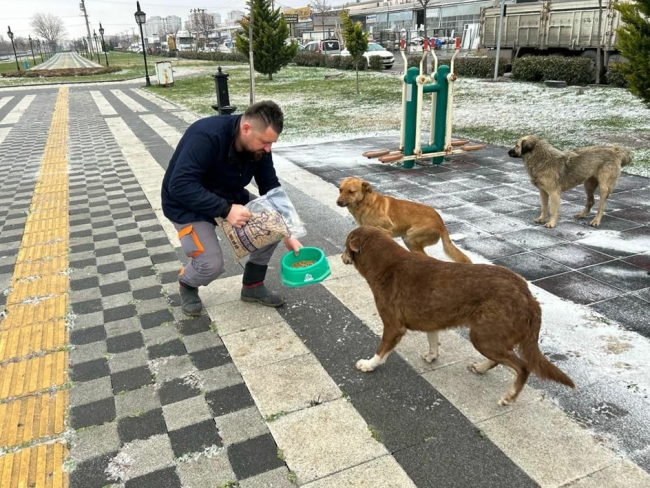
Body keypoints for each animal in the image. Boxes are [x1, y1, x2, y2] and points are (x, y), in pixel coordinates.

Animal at [336, 177, 468, 264]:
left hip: (410, 237)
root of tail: (440, 221)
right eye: (340, 190)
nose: (338, 202)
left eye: (351, 191)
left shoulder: (388, 228)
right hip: (408, 239)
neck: (366, 204)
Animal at [342, 225, 576, 404]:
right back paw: (481, 368)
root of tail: (528, 296)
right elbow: (433, 341)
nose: (343, 256)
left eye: (345, 246)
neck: (386, 264)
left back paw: (509, 396)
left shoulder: (393, 326)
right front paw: (432, 356)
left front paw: (368, 365)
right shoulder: (431, 320)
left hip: (483, 336)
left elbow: (381, 351)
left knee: (522, 367)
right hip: (491, 337)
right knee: (501, 360)